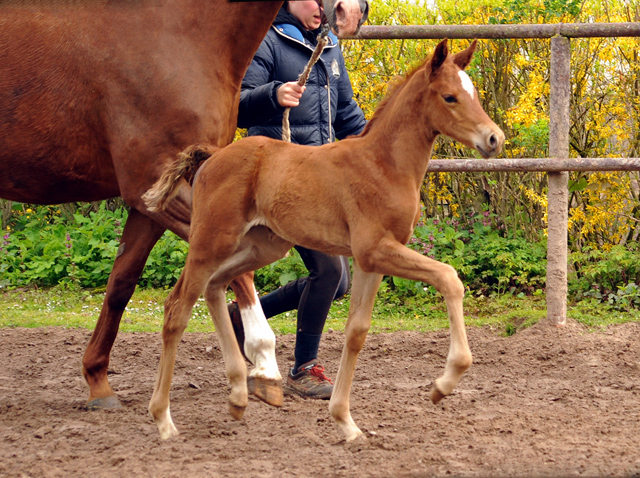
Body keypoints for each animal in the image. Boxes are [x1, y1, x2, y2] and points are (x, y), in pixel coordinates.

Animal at [0, 0, 368, 410]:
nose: (354, 12)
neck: (178, 34)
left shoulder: (153, 200)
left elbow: (120, 285)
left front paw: (98, 381)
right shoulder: (171, 190)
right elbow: (239, 274)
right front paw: (263, 366)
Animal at [144, 39, 504, 438]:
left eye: (474, 93)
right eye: (450, 97)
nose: (494, 138)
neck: (383, 165)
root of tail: (212, 157)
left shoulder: (371, 261)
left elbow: (356, 332)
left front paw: (346, 422)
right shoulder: (375, 249)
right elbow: (449, 278)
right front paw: (443, 384)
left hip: (263, 245)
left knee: (215, 288)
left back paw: (239, 394)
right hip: (210, 241)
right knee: (177, 308)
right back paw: (163, 419)